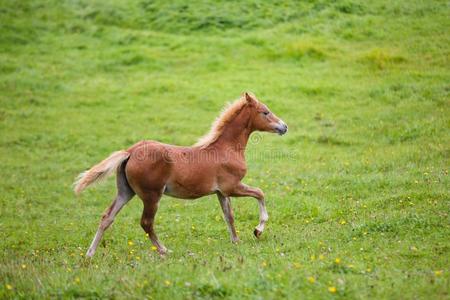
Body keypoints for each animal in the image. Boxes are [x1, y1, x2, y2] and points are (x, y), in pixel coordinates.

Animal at [73, 92, 284, 256]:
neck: (226, 148)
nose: (284, 127)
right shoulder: (232, 187)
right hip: (151, 195)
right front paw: (258, 230)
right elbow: (260, 193)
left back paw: (90, 253)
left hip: (126, 192)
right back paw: (164, 250)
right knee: (146, 222)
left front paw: (236, 241)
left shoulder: (221, 193)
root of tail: (131, 151)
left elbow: (229, 215)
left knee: (107, 217)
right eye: (265, 112)